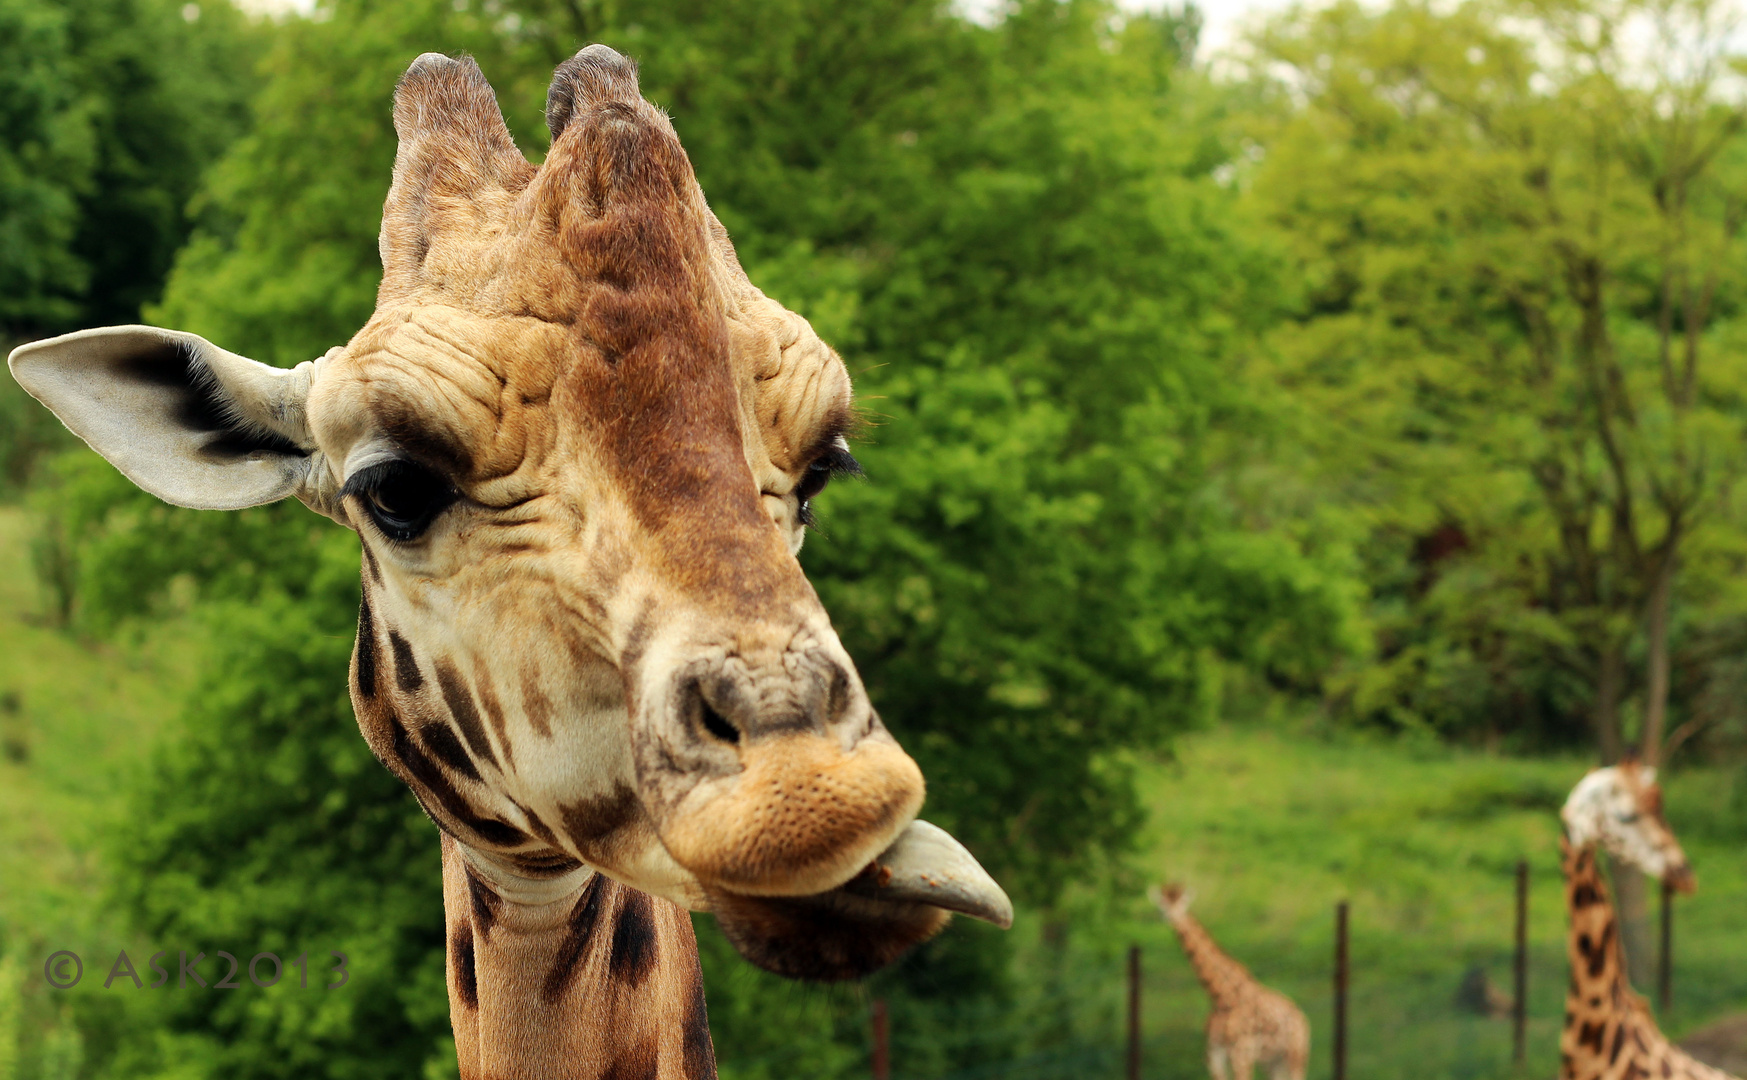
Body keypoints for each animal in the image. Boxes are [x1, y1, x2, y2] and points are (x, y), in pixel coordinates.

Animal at [1153, 884, 1306, 1076]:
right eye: (1161, 903)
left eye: (1183, 902)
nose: (1171, 916)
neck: (1221, 997)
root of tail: (1300, 1017)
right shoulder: (1214, 1057)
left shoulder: (1241, 1056)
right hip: (1273, 1062)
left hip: (1296, 1056)